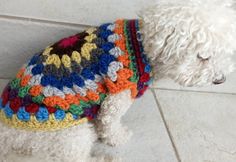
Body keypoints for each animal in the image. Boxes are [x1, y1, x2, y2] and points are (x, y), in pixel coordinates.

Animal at [0, 0, 235, 161]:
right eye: (203, 56)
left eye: (224, 53)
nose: (220, 80)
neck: (140, 45)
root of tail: (7, 136)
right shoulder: (116, 97)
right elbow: (110, 123)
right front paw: (118, 137)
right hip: (69, 135)